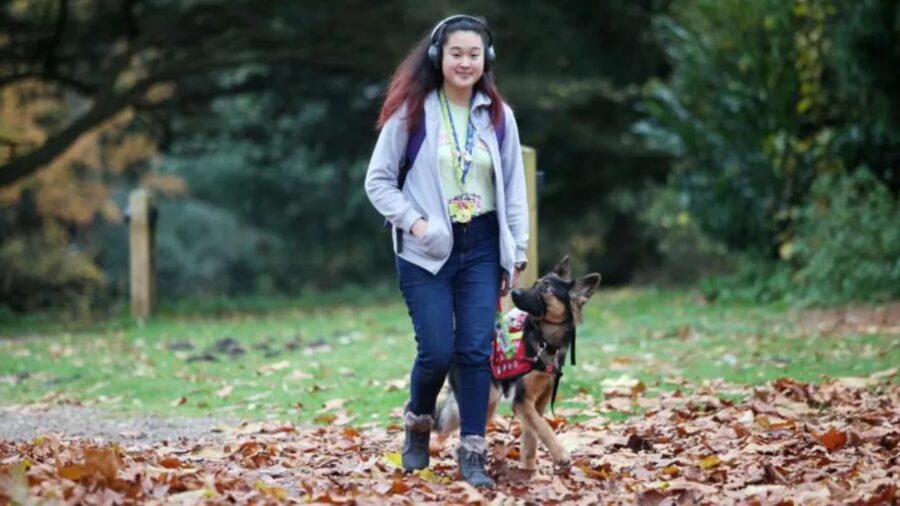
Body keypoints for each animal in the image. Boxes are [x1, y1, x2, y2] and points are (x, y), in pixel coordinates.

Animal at [434, 256, 600, 470]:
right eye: (535, 283)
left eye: (546, 288)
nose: (514, 292)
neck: (544, 342)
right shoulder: (521, 400)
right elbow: (544, 427)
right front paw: (560, 455)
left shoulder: (538, 401)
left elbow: (532, 435)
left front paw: (529, 469)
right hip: (485, 397)